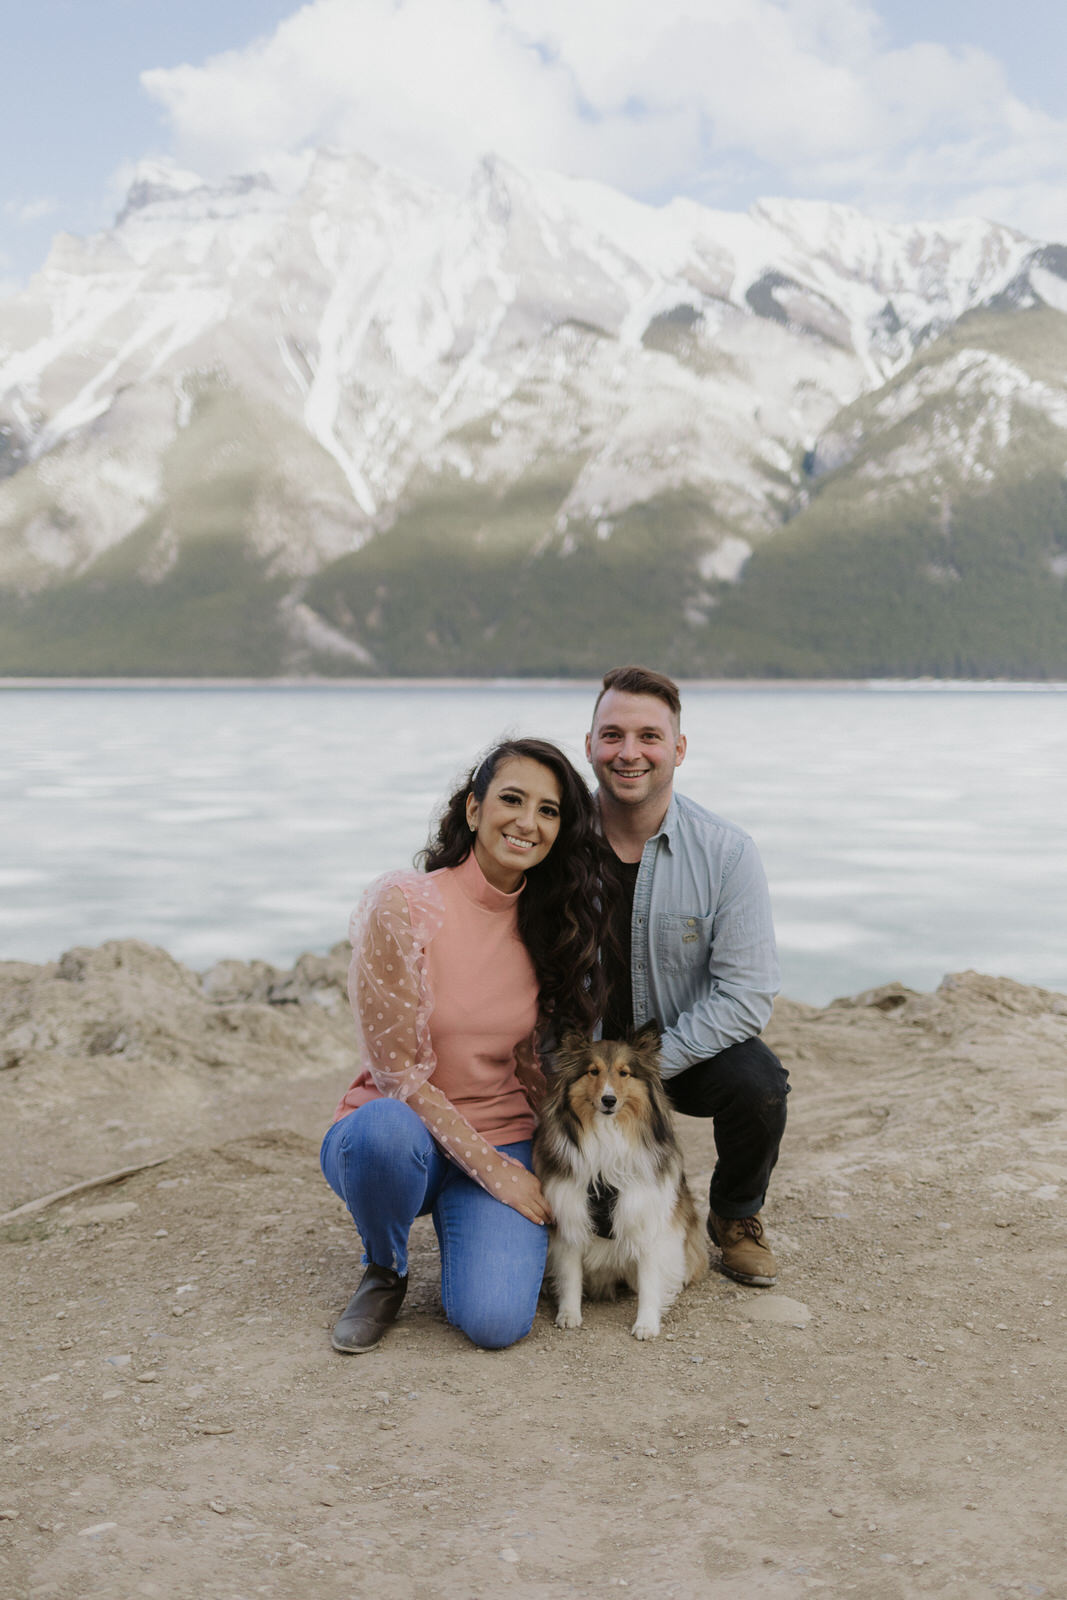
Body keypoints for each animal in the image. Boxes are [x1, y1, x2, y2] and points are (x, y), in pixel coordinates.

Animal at [534, 1024, 710, 1337]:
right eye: (593, 1071)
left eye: (624, 1072)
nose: (609, 1100)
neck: (608, 1132)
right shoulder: (570, 1214)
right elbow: (570, 1274)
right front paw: (569, 1314)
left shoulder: (647, 1216)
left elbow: (650, 1279)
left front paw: (647, 1323)